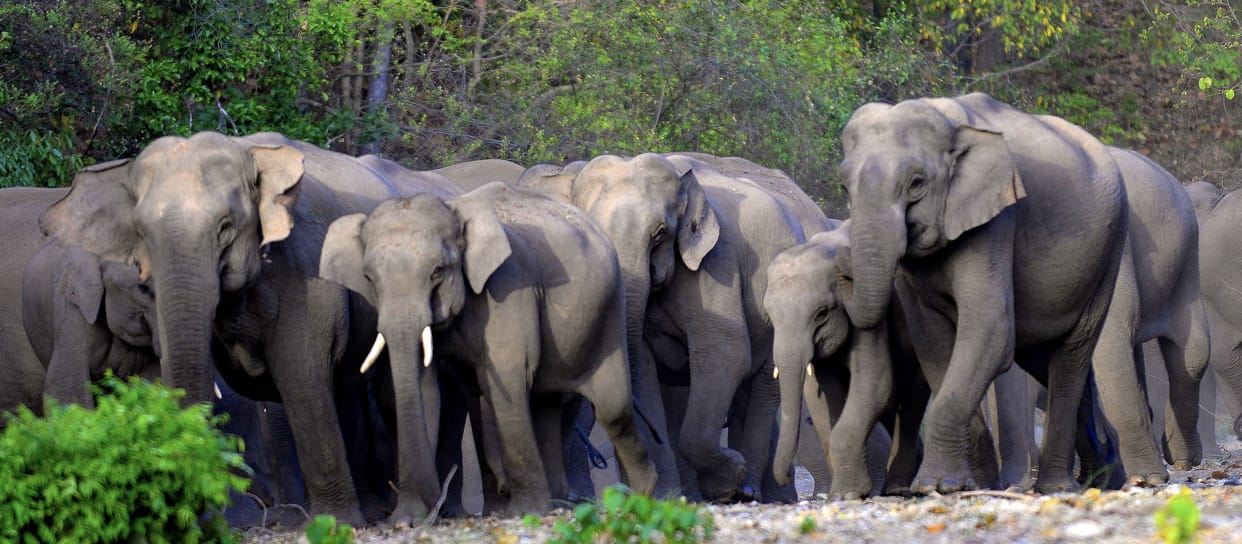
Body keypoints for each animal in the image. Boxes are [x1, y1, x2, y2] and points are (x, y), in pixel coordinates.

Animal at [319, 183, 657, 519]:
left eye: (437, 271)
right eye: (369, 278)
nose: (435, 506)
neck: (455, 212)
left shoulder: (508, 287)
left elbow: (507, 379)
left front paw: (526, 511)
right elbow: (426, 391)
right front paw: (408, 518)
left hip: (609, 311)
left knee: (612, 408)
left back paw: (640, 496)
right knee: (544, 405)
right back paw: (558, 502)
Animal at [517, 153, 833, 502]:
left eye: (660, 232)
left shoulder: (715, 265)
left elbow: (725, 353)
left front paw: (727, 483)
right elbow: (645, 368)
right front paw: (665, 496)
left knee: (762, 385)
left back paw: (749, 490)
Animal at [838, 93, 1130, 494]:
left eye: (916, 184)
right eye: (844, 187)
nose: (843, 277)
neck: (948, 122)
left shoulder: (997, 221)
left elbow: (989, 331)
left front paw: (937, 485)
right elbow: (932, 340)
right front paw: (971, 482)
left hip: (1107, 255)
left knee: (1071, 357)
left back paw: (1059, 486)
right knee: (1047, 362)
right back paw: (1105, 475)